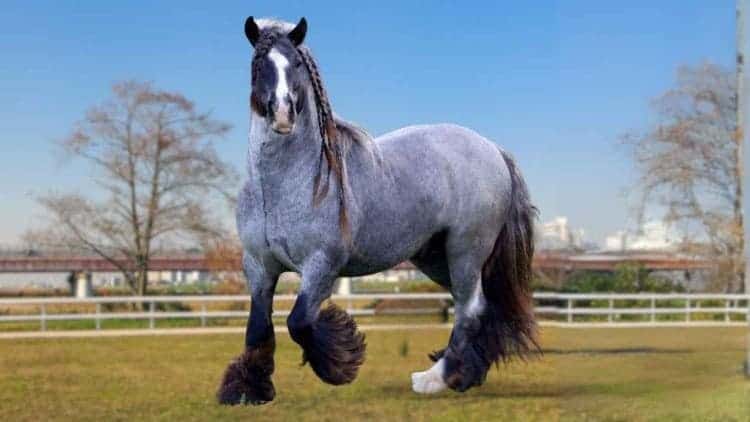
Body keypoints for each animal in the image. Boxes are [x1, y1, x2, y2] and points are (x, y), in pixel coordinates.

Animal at [217, 16, 540, 406]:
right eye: (258, 65)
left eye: (295, 63)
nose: (282, 114)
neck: (286, 185)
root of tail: (494, 150)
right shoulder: (258, 266)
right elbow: (258, 328)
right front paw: (246, 389)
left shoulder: (321, 265)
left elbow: (299, 322)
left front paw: (341, 361)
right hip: (437, 258)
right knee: (482, 307)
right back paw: (466, 376)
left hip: (466, 251)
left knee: (470, 309)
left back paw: (434, 379)